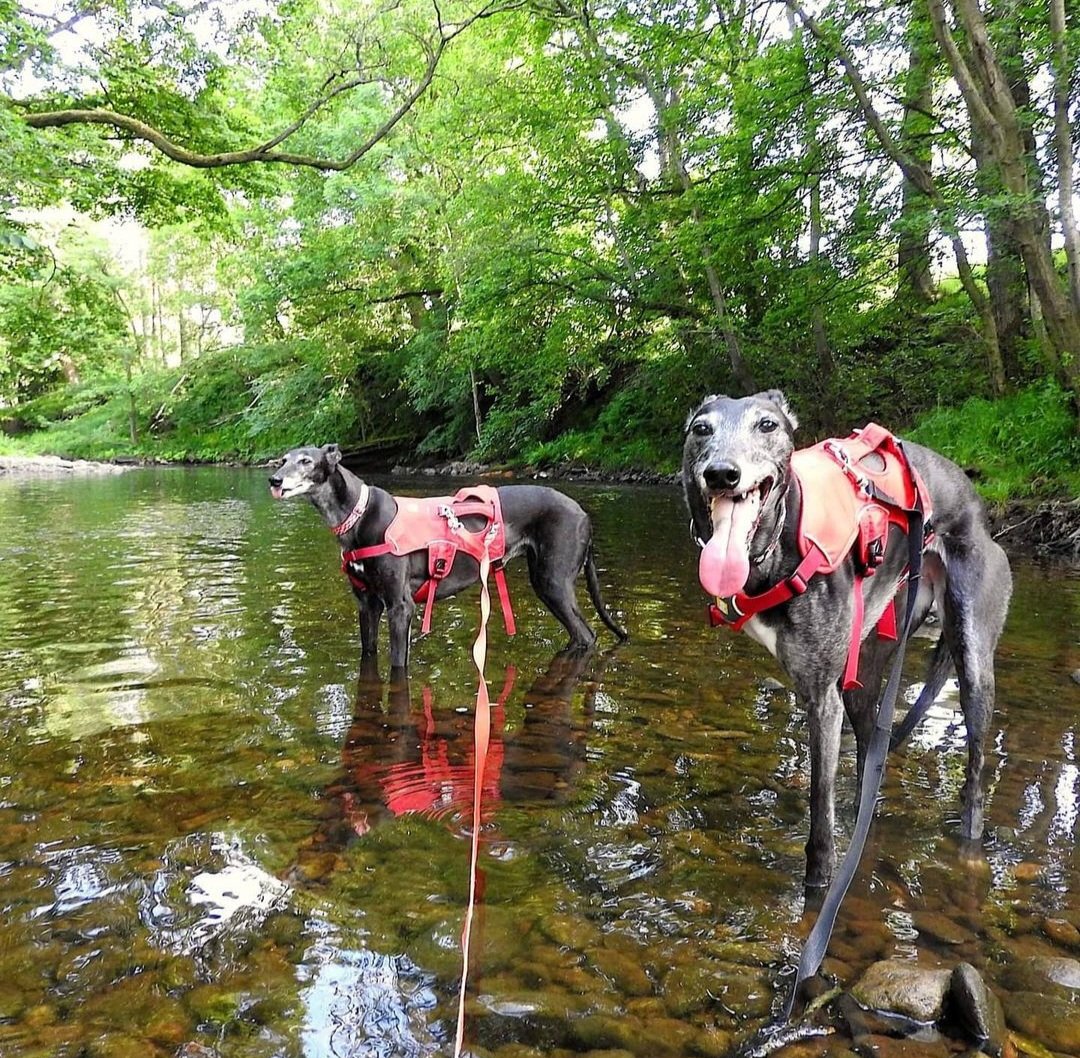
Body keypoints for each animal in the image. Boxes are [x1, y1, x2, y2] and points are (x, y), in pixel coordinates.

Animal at [682, 388, 1010, 885]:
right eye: (701, 429)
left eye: (767, 425)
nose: (722, 473)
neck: (778, 542)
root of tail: (973, 498)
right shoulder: (830, 691)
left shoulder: (822, 700)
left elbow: (821, 823)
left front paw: (821, 887)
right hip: (868, 663)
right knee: (870, 761)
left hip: (971, 655)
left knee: (973, 774)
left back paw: (970, 845)